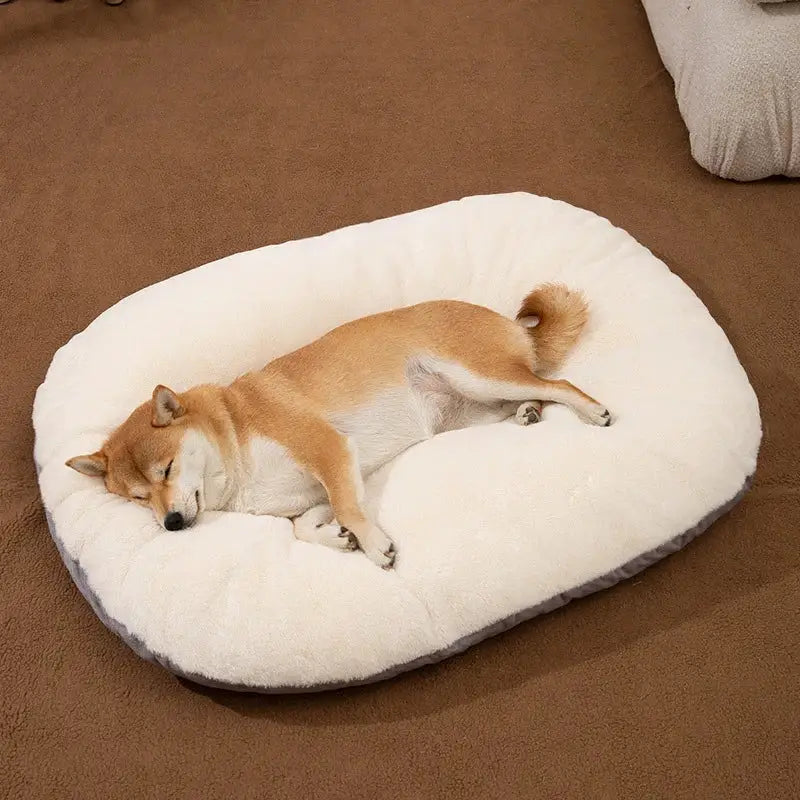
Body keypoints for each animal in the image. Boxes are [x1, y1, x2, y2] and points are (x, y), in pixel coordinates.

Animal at [67, 284, 612, 564]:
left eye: (166, 471)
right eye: (138, 500)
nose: (172, 524)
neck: (235, 436)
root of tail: (509, 324)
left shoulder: (327, 448)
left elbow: (349, 506)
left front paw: (371, 542)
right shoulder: (310, 495)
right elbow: (304, 528)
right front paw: (339, 539)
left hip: (476, 374)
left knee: (560, 384)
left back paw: (591, 410)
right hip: (468, 411)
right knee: (531, 395)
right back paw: (528, 412)